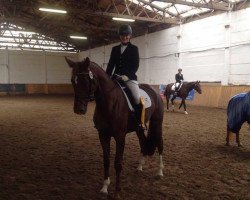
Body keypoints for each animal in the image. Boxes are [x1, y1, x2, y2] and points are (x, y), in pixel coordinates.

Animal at [65, 57, 165, 198]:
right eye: (73, 81)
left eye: (86, 80)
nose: (79, 109)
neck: (109, 102)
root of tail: (155, 91)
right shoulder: (103, 135)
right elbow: (106, 161)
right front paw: (104, 187)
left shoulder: (120, 137)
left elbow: (118, 163)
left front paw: (117, 191)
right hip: (139, 128)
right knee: (143, 143)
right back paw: (140, 167)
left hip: (157, 122)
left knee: (160, 143)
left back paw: (160, 172)